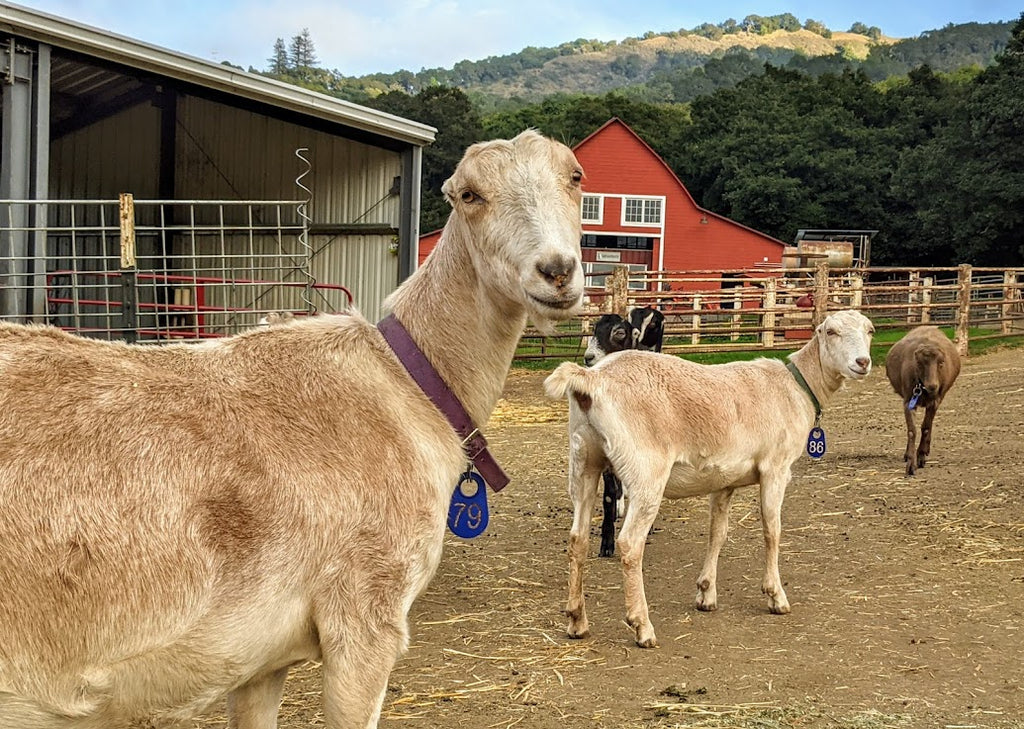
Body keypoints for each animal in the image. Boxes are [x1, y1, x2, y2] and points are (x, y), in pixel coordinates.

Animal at [0, 129, 585, 729]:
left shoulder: (258, 659)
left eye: (575, 177)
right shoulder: (364, 613)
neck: (407, 387)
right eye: (469, 194)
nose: (557, 270)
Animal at [884, 325, 962, 475]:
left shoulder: (935, 401)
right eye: (919, 363)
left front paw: (920, 456)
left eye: (941, 363)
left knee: (928, 426)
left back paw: (926, 449)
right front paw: (911, 463)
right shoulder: (908, 401)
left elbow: (925, 428)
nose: (933, 386)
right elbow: (912, 430)